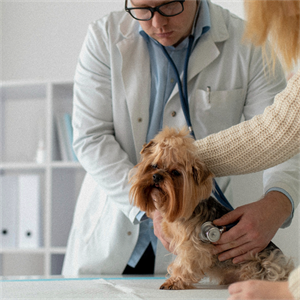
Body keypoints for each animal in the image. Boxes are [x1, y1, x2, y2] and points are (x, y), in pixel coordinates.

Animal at [129, 127, 292, 290]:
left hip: (262, 263)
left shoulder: (194, 247)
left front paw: (174, 281)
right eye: (154, 166)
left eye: (175, 172)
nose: (156, 176)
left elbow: (185, 264)